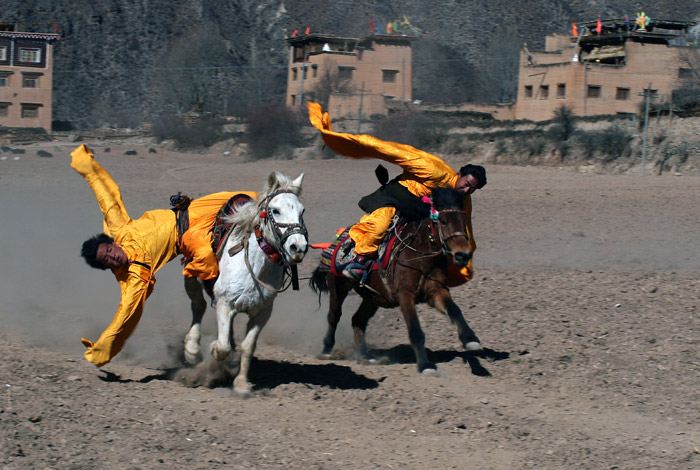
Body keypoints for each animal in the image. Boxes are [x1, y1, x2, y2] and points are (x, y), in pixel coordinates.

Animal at [182, 171, 308, 394]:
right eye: (275, 210)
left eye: (302, 211)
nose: (298, 247)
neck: (255, 267)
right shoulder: (224, 304)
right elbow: (222, 347)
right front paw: (212, 349)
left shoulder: (262, 312)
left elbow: (248, 347)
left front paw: (241, 384)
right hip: (192, 274)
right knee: (198, 304)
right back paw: (192, 350)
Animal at [310, 187, 482, 374]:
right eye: (443, 221)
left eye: (464, 220)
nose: (462, 255)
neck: (421, 254)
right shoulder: (405, 294)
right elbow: (415, 331)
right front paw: (426, 365)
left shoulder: (436, 291)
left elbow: (455, 311)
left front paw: (471, 340)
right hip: (339, 286)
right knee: (334, 316)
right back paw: (327, 351)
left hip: (374, 297)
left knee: (358, 320)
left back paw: (366, 357)